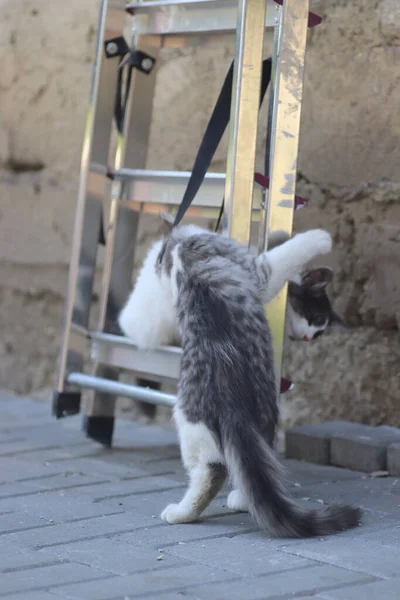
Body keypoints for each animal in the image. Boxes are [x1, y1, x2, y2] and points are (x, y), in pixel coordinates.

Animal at [155, 223, 360, 536]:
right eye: (314, 319)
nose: (307, 338)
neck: (182, 245)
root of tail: (228, 393)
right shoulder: (259, 271)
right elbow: (286, 251)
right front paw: (318, 237)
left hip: (256, 415)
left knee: (246, 463)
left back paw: (237, 499)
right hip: (194, 422)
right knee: (215, 470)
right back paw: (183, 513)